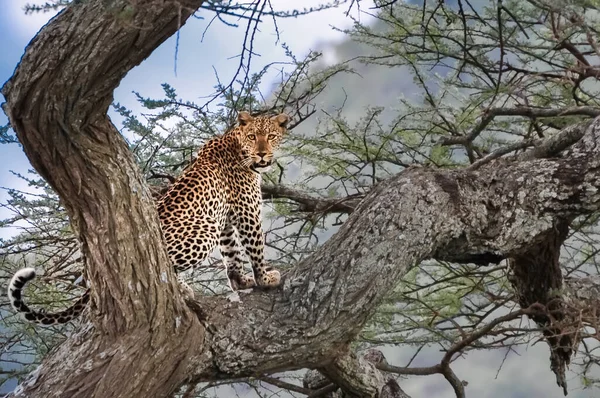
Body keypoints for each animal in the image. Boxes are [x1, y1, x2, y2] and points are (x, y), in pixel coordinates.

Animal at [7, 111, 290, 324]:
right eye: (253, 136)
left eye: (271, 137)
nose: (262, 153)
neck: (237, 145)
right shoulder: (246, 211)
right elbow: (255, 248)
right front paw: (265, 278)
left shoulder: (227, 219)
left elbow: (232, 254)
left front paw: (241, 281)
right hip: (204, 228)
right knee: (166, 266)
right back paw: (183, 288)